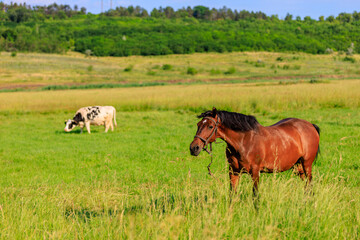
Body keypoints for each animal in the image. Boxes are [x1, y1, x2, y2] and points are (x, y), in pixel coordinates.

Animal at [190, 108, 320, 196]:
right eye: (198, 124)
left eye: (210, 126)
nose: (194, 148)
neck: (244, 141)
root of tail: (310, 125)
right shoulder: (233, 172)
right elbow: (232, 194)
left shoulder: (255, 172)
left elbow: (255, 196)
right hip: (298, 167)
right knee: (307, 187)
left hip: (307, 165)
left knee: (310, 185)